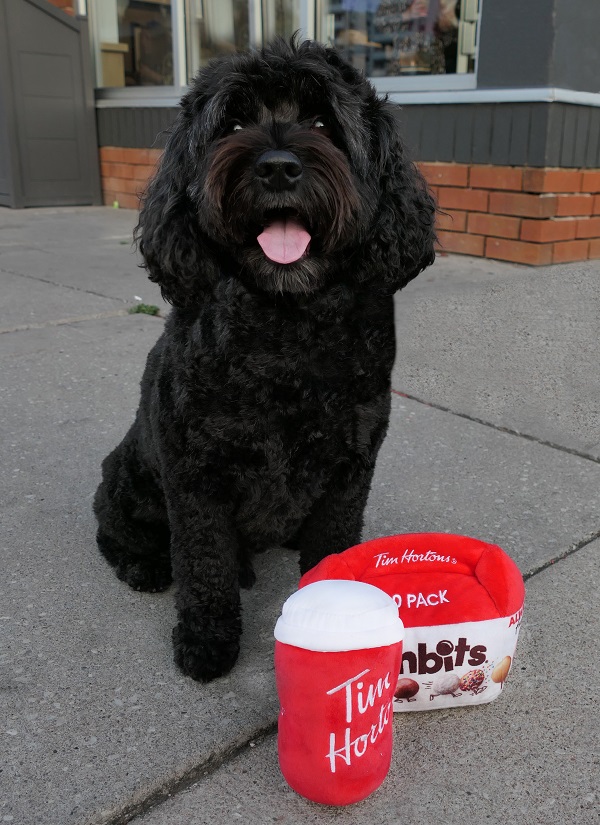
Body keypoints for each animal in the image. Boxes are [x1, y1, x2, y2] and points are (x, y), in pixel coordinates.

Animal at [96, 37, 438, 684]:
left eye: (323, 121)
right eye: (232, 123)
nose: (277, 167)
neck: (287, 325)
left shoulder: (349, 468)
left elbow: (332, 542)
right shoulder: (193, 474)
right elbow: (204, 561)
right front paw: (207, 640)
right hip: (130, 472)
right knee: (116, 528)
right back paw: (146, 565)